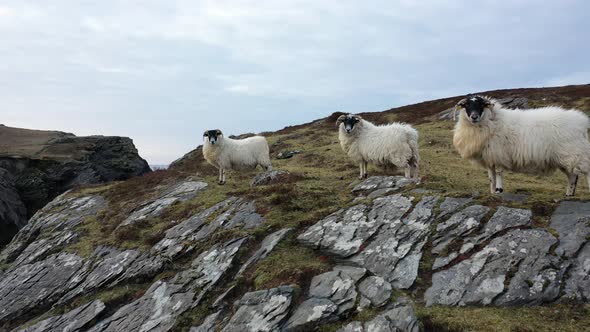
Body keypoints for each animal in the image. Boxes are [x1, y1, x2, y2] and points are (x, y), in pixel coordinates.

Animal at [454, 94, 590, 196]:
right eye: (466, 105)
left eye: (481, 105)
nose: (474, 116)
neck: (492, 121)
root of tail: (583, 123)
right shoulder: (490, 157)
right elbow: (491, 177)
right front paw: (492, 191)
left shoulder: (499, 154)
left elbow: (498, 173)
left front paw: (499, 190)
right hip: (567, 157)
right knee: (572, 176)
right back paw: (569, 194)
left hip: (577, 153)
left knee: (586, 171)